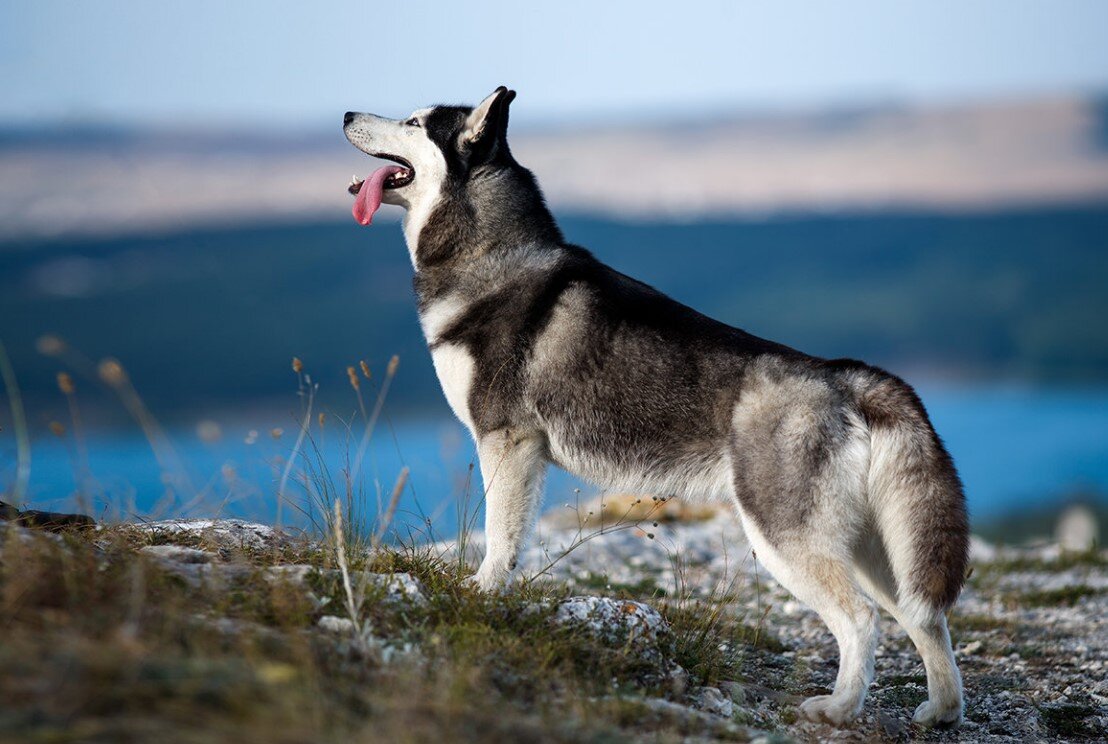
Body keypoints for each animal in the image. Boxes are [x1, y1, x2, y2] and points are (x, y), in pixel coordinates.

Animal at [341, 87, 966, 727]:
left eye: (414, 122)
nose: (345, 115)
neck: (492, 257)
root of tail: (846, 377)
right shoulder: (528, 454)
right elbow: (513, 538)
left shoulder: (506, 440)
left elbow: (498, 537)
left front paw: (483, 595)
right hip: (876, 549)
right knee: (926, 618)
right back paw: (940, 710)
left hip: (786, 538)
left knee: (862, 619)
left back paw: (839, 707)